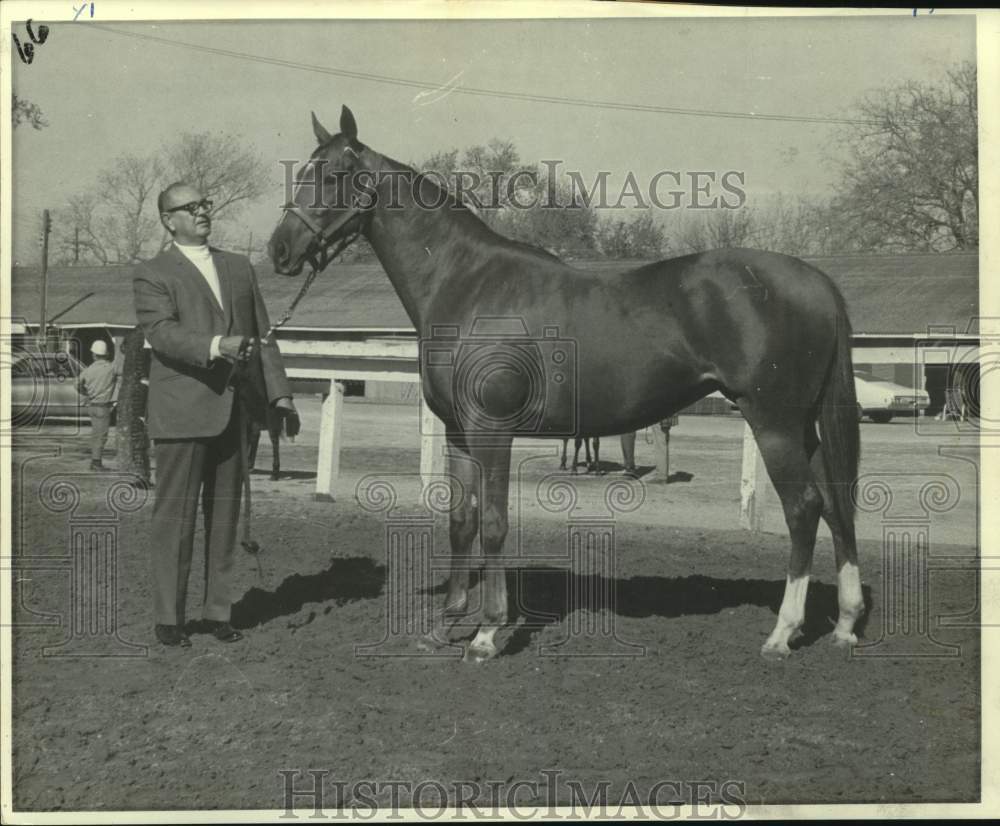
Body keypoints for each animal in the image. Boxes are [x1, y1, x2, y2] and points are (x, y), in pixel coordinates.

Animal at [270, 106, 864, 664]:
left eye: (335, 174)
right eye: (302, 171)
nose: (280, 249)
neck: (468, 285)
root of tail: (816, 282)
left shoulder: (491, 431)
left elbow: (493, 523)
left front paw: (486, 634)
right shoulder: (458, 433)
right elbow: (460, 522)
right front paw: (444, 625)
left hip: (773, 421)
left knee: (803, 509)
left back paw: (782, 633)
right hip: (803, 425)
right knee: (836, 505)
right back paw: (844, 624)